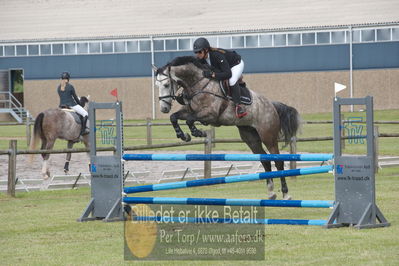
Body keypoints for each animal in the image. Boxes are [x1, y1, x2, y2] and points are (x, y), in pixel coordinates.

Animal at [155, 56, 302, 200]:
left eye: (166, 84)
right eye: (157, 85)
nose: (164, 108)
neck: (199, 84)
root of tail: (271, 105)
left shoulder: (210, 114)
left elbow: (190, 120)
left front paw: (198, 132)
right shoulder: (189, 110)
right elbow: (174, 117)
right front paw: (183, 135)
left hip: (268, 136)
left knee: (278, 161)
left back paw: (286, 193)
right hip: (250, 137)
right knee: (265, 160)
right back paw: (271, 193)